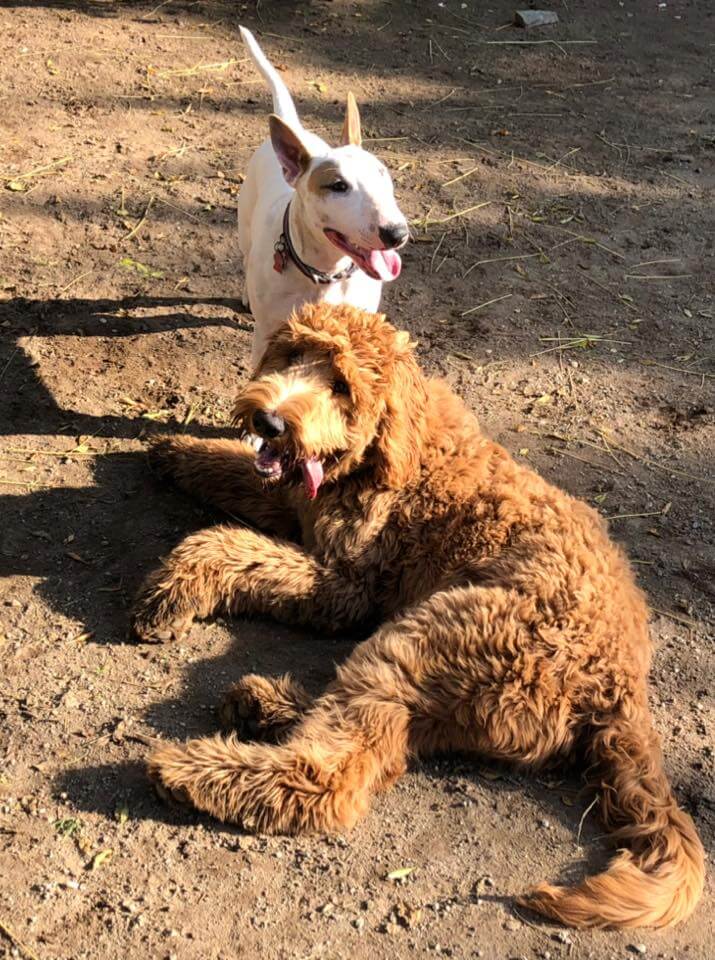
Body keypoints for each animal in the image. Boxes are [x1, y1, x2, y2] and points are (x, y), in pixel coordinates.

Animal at [134, 304, 704, 928]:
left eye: (341, 385)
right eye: (292, 355)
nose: (271, 419)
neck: (383, 453)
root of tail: (619, 687)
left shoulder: (345, 587)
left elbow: (232, 547)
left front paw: (172, 590)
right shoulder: (293, 500)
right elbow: (239, 475)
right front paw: (174, 450)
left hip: (435, 635)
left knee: (337, 774)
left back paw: (193, 773)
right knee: (380, 728)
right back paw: (266, 704)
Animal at [238, 26, 408, 366]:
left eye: (382, 174)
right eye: (338, 185)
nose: (397, 233)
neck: (325, 275)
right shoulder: (267, 335)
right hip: (245, 225)